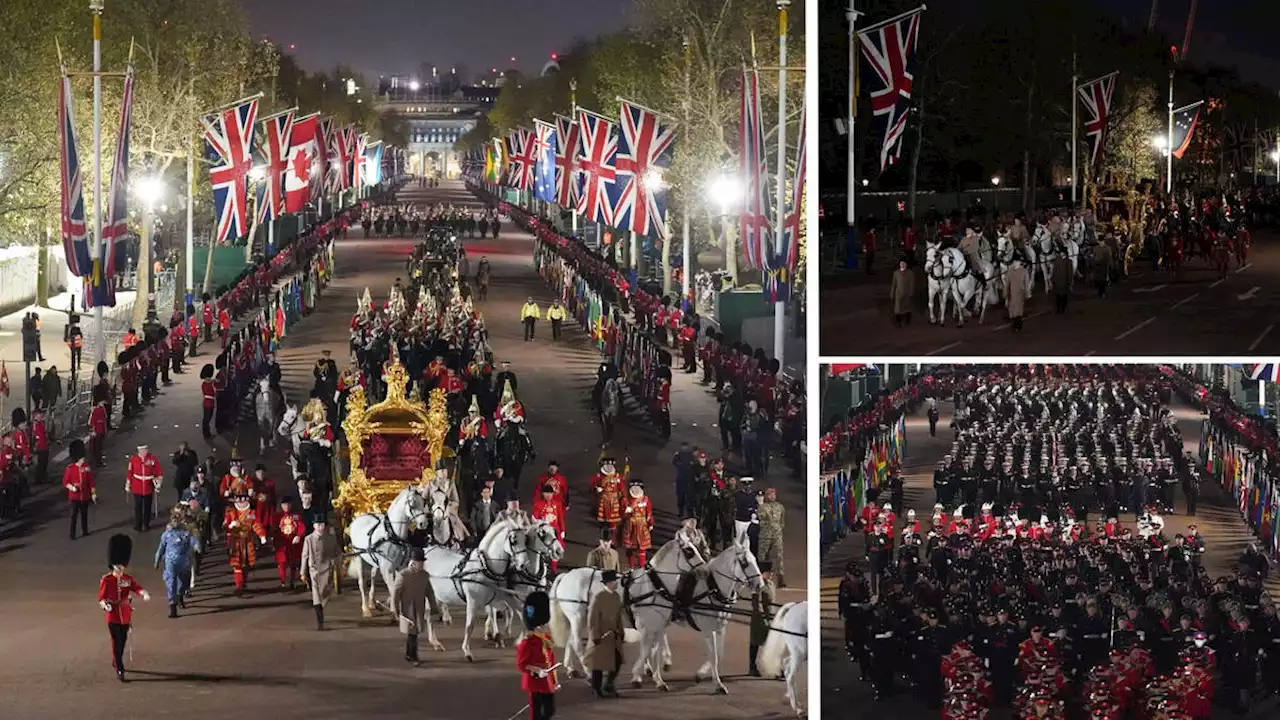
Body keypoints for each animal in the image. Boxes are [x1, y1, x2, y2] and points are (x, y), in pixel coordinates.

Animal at [348, 486, 437, 617]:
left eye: (423, 502)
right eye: (412, 503)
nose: (423, 523)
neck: (393, 534)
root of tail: (359, 518)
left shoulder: (400, 567)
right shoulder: (388, 569)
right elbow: (392, 587)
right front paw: (395, 611)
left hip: (375, 562)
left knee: (373, 577)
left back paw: (372, 602)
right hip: (358, 557)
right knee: (362, 582)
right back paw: (366, 609)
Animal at [422, 512, 563, 661]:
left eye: (525, 540)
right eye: (513, 540)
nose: (559, 551)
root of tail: (427, 550)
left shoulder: (506, 597)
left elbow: (515, 615)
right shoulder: (475, 602)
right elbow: (470, 625)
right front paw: (467, 650)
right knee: (429, 615)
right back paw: (437, 639)